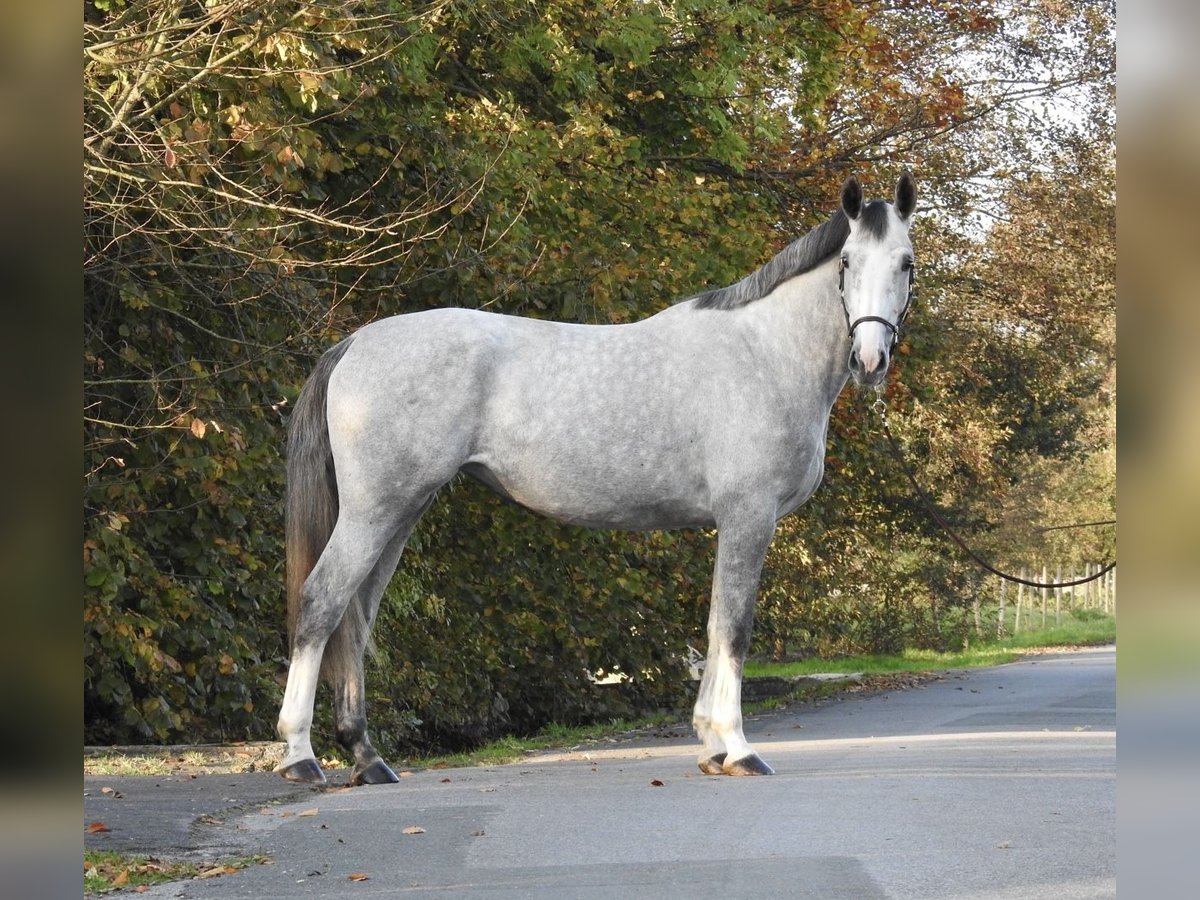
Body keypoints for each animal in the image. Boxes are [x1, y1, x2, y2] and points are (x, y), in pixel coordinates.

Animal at [280, 172, 916, 787]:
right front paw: (736, 749)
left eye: (906, 263)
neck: (763, 352)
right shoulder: (748, 515)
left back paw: (366, 757)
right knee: (320, 603)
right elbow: (733, 627)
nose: (869, 361)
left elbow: (715, 626)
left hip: (399, 511)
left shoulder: (734, 521)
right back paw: (299, 755)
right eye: (847, 262)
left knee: (355, 620)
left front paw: (711, 746)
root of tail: (356, 343)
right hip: (373, 511)